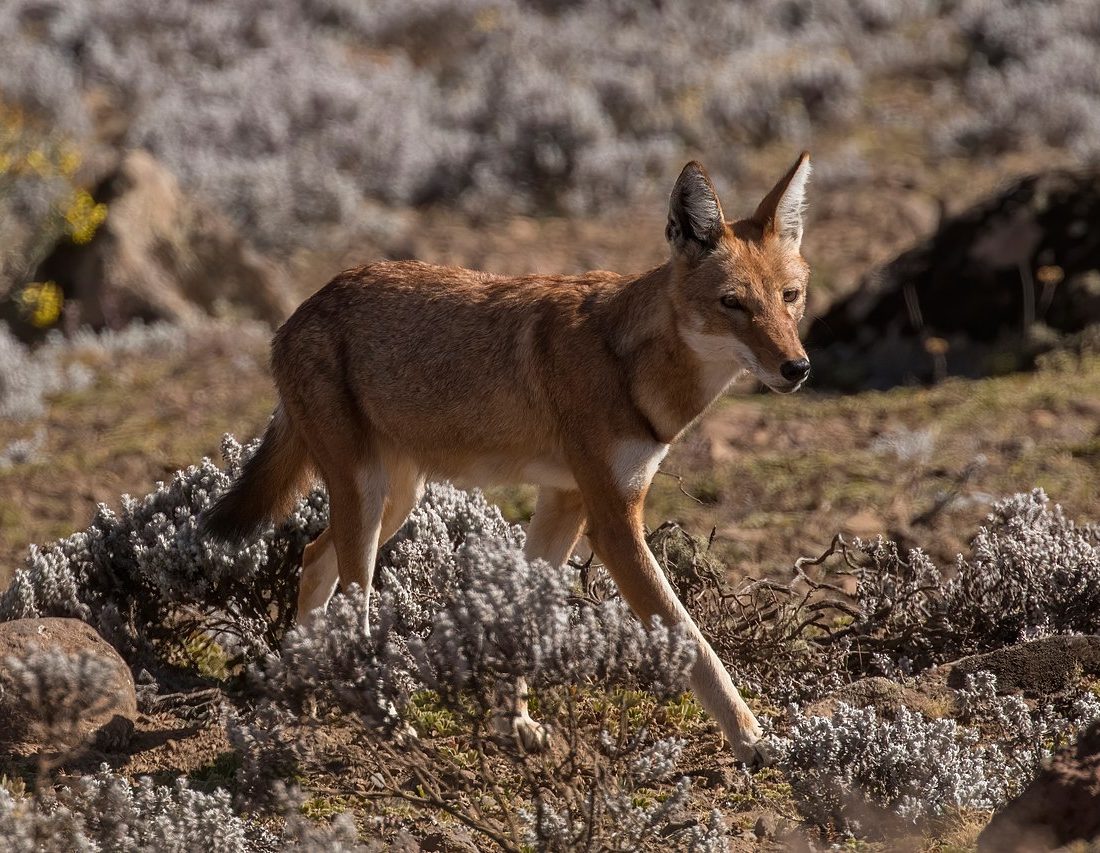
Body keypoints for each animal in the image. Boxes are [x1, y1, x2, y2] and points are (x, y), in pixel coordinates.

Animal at [200, 153, 813, 764]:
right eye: (732, 303)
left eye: (790, 297)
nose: (798, 368)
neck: (631, 364)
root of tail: (299, 311)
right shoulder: (614, 524)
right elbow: (693, 641)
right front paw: (754, 739)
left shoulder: (566, 502)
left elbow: (523, 617)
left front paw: (513, 723)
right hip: (370, 501)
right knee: (353, 606)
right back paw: (386, 720)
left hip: (394, 502)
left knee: (311, 557)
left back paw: (303, 690)